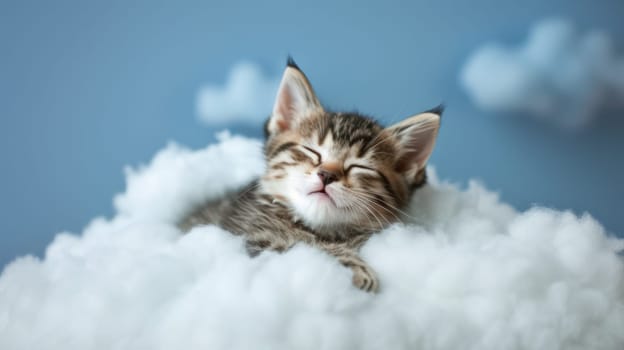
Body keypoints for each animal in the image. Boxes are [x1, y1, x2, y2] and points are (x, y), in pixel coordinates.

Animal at [180, 58, 442, 292]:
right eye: (312, 152)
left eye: (360, 166)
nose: (326, 175)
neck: (320, 230)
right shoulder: (248, 237)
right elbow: (300, 246)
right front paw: (355, 267)